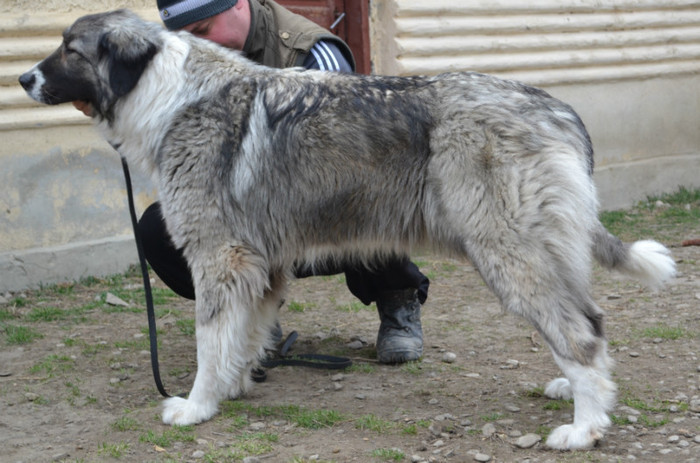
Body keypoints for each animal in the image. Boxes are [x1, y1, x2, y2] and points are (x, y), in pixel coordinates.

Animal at [20, 10, 680, 450]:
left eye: (70, 50)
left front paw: (198, 406)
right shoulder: (261, 263)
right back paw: (580, 393)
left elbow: (211, 339)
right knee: (589, 319)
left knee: (578, 331)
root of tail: (555, 107)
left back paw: (585, 427)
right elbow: (242, 335)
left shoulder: (219, 255)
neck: (167, 91)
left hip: (509, 251)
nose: (24, 79)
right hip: (540, 251)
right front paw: (234, 387)